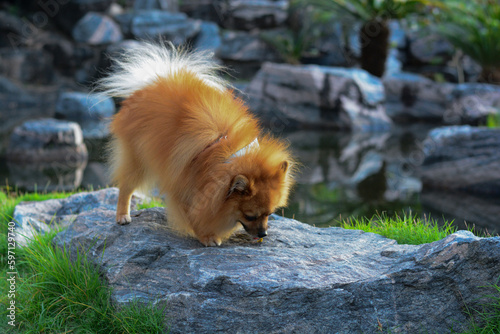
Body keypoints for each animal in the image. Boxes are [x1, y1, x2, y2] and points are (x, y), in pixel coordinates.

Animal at [97, 41, 292, 245]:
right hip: (137, 157)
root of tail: (148, 84)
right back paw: (122, 215)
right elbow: (193, 214)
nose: (264, 233)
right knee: (126, 187)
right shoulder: (184, 182)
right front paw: (207, 236)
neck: (223, 152)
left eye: (269, 214)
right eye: (250, 216)